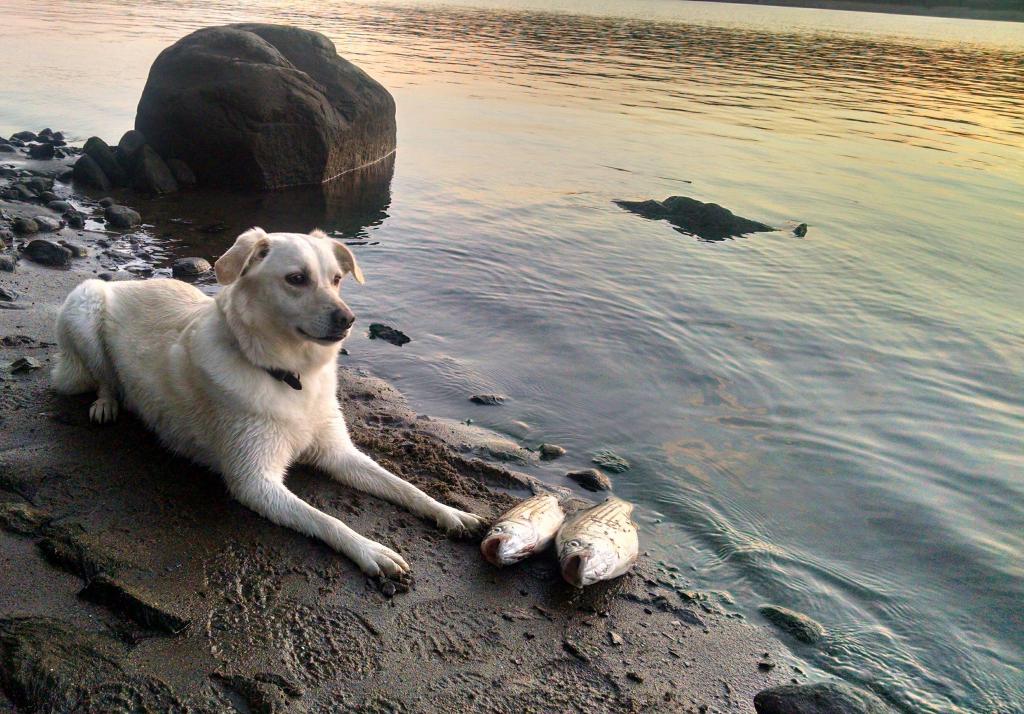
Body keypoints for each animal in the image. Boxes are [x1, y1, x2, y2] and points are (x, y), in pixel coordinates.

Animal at [54, 228, 485, 573]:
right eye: (296, 279)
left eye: (337, 279)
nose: (348, 320)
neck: (290, 376)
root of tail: (126, 282)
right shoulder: (254, 481)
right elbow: (327, 521)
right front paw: (370, 550)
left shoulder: (338, 453)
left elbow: (405, 486)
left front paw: (450, 512)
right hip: (83, 303)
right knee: (105, 378)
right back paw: (107, 403)